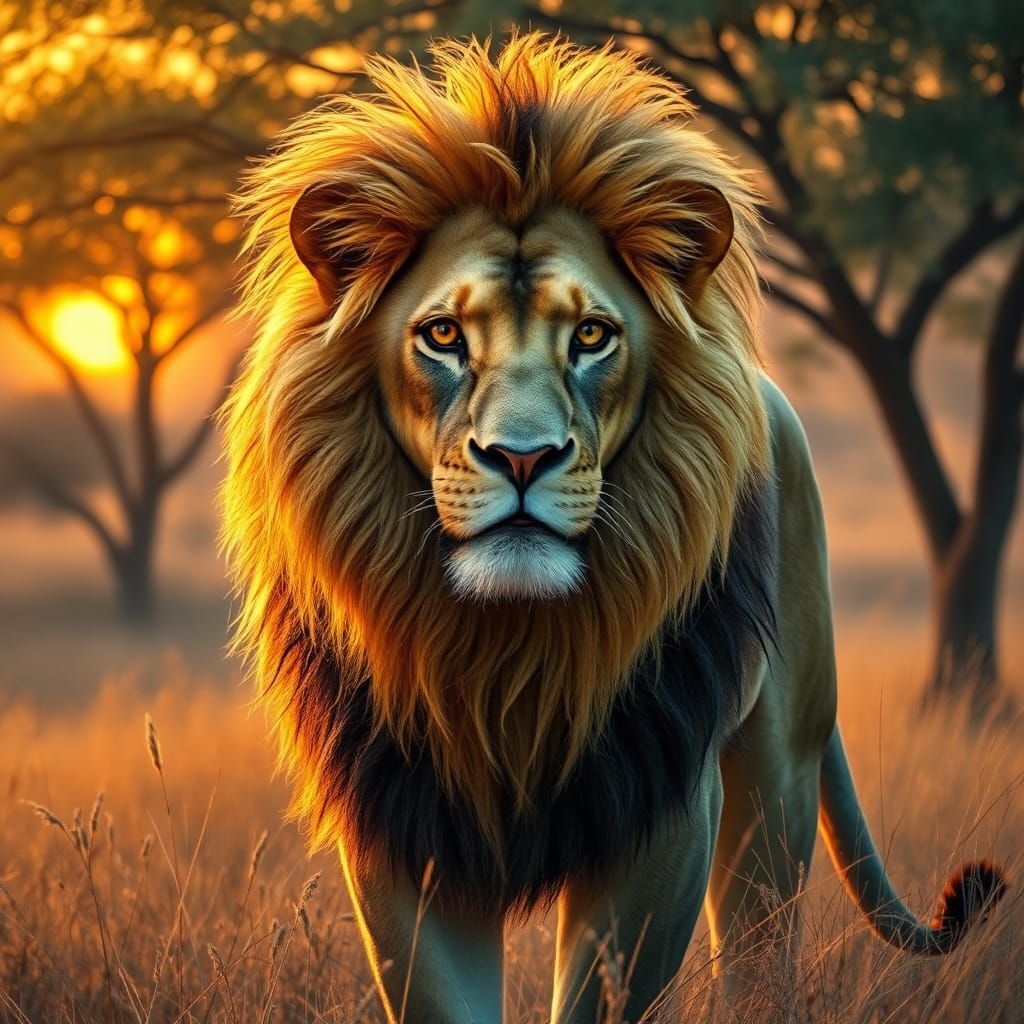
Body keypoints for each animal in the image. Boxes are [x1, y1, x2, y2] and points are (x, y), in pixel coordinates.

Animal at [221, 33, 1006, 1023]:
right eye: (442, 335)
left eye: (592, 335)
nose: (522, 458)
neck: (502, 653)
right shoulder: (401, 825)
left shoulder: (658, 811)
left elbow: (603, 991)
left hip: (779, 780)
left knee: (761, 949)